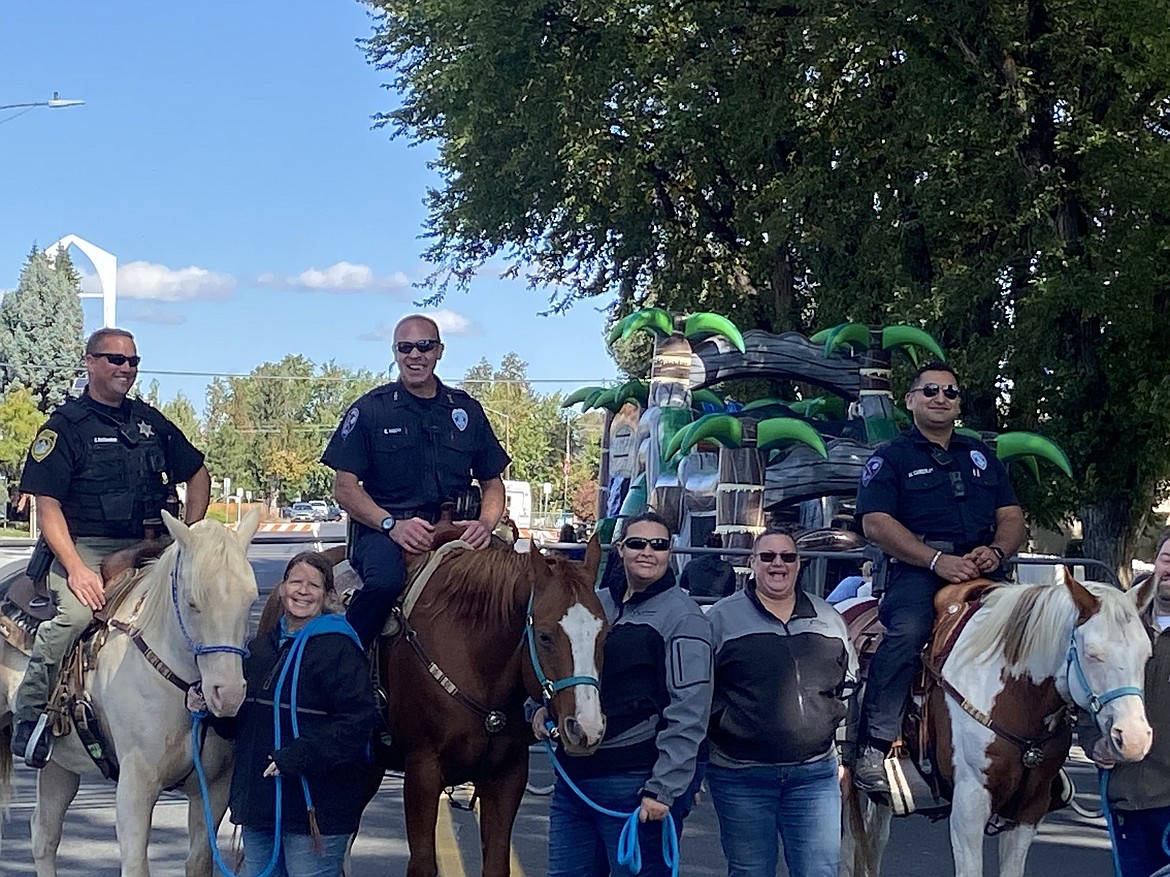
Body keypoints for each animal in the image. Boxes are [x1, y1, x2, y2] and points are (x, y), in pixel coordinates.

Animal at [0, 507, 260, 877]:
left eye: (250, 599)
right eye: (193, 603)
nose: (228, 694)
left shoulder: (215, 787)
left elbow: (199, 860)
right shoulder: (136, 786)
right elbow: (136, 863)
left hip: (59, 763)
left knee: (44, 834)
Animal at [847, 570, 1155, 877]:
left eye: (1146, 655)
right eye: (1092, 653)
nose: (1133, 739)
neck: (1016, 696)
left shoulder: (1029, 808)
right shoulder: (969, 805)